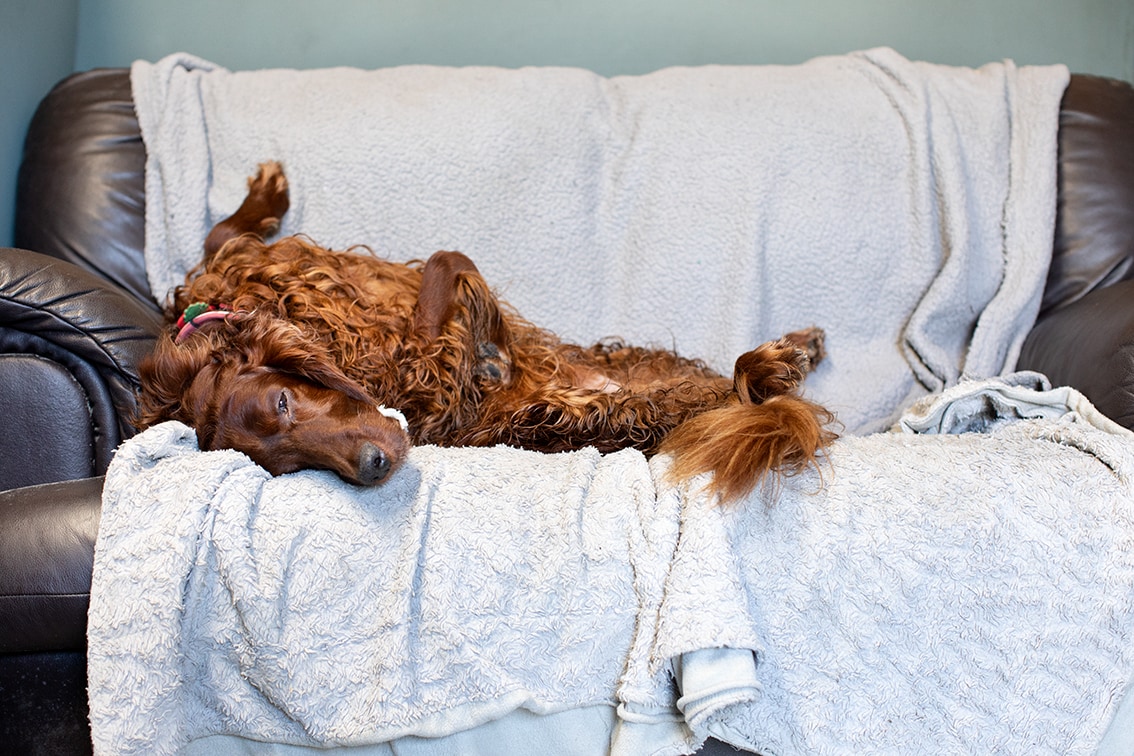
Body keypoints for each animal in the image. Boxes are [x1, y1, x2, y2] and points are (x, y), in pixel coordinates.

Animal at [137, 160, 839, 503]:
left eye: (284, 401)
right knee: (736, 394)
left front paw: (266, 191)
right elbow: (447, 269)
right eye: (284, 468)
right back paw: (776, 361)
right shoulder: (435, 383)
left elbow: (221, 233)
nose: (370, 470)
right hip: (591, 414)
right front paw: (490, 340)